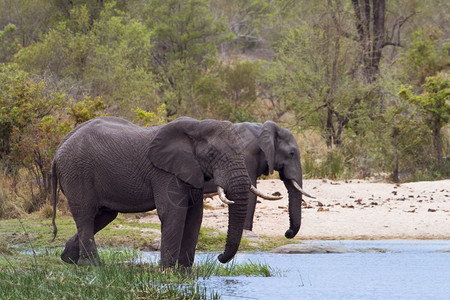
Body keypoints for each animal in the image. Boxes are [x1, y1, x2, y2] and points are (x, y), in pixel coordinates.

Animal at [49, 116, 274, 268]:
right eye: (211, 154)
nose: (219, 257)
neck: (197, 126)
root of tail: (58, 149)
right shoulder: (164, 173)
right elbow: (173, 213)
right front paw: (168, 271)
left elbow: (195, 216)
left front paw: (184, 272)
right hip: (76, 172)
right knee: (86, 215)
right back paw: (92, 265)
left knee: (103, 215)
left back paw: (68, 258)